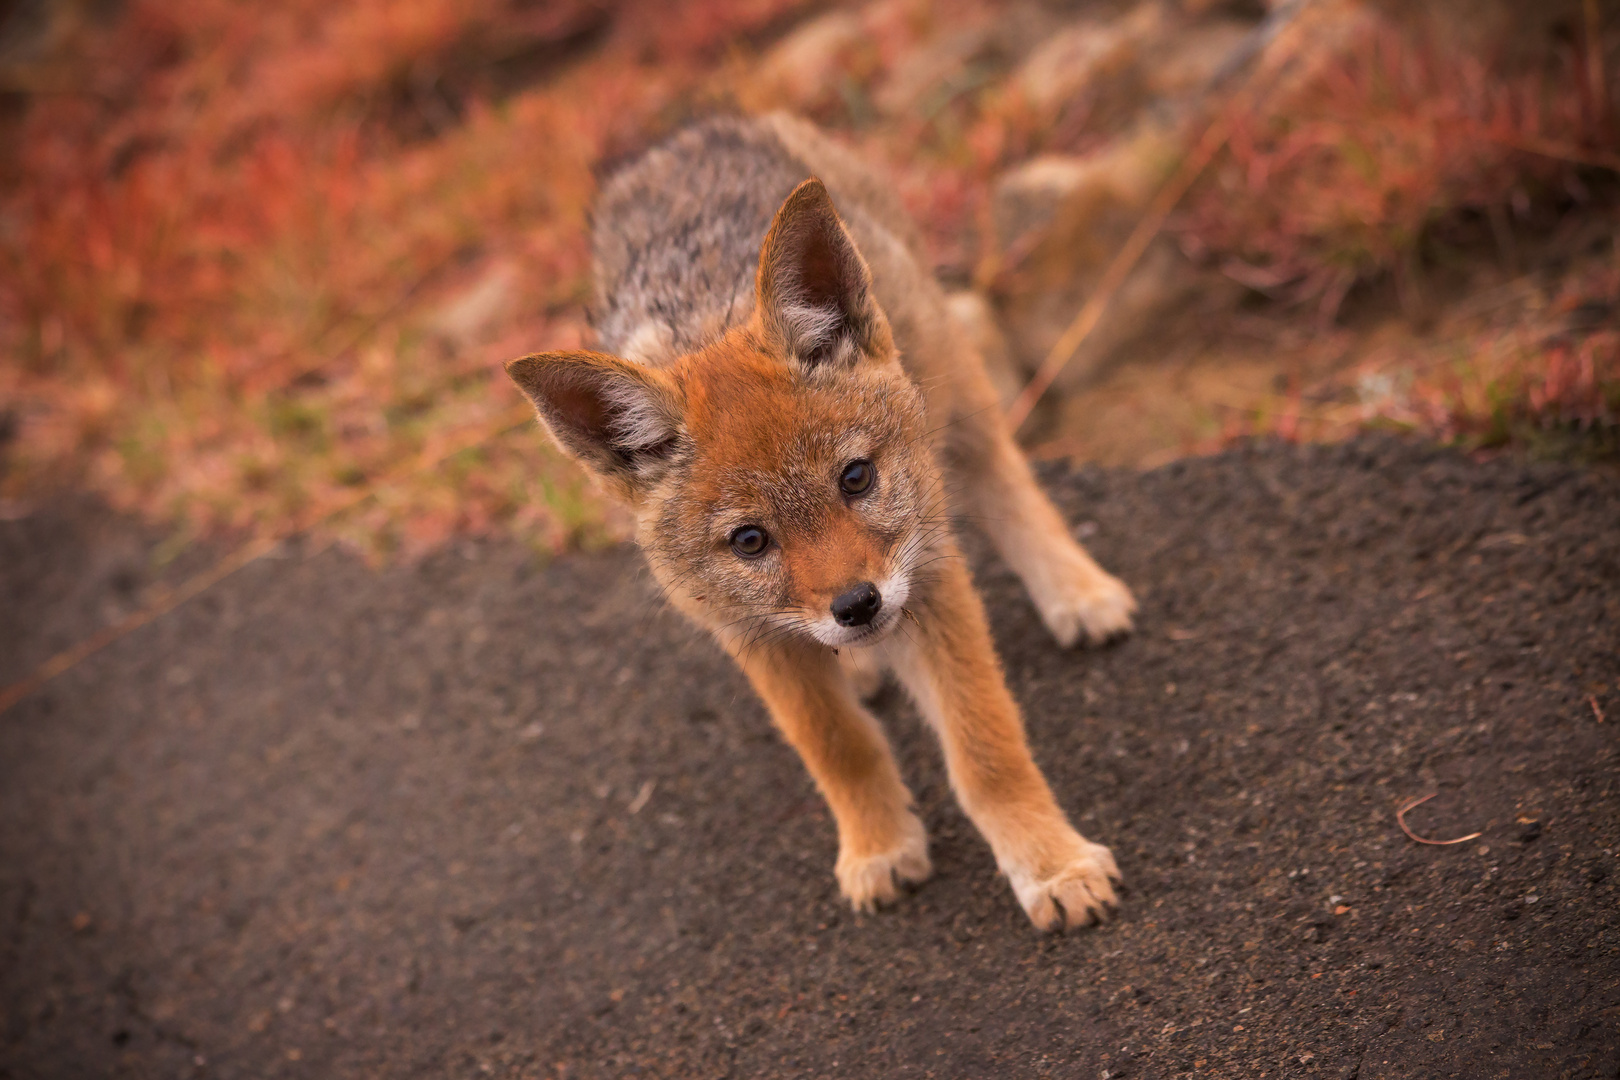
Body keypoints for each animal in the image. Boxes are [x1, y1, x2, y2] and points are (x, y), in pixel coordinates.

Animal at [508, 116, 1140, 932]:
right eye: (750, 541)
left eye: (855, 479)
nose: (857, 605)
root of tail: (687, 131)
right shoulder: (750, 638)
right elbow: (839, 749)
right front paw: (879, 845)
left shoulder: (930, 577)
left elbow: (985, 750)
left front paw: (1051, 865)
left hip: (956, 393)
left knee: (1007, 483)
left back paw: (1076, 592)